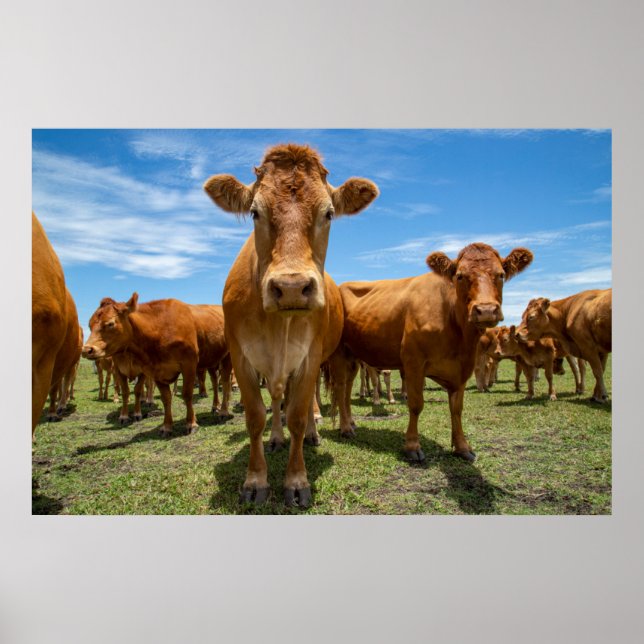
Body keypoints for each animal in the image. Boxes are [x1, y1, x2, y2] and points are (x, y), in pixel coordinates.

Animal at [82, 294, 200, 434]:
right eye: (90, 325)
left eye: (110, 323)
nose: (86, 350)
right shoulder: (120, 370)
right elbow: (126, 392)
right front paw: (124, 416)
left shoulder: (148, 371)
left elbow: (139, 390)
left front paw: (137, 413)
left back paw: (149, 400)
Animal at [203, 143, 378, 507]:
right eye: (255, 212)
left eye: (329, 213)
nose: (293, 287)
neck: (277, 326)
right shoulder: (241, 357)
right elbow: (256, 416)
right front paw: (255, 480)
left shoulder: (310, 357)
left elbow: (297, 414)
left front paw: (297, 481)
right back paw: (276, 438)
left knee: (319, 397)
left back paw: (316, 431)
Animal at [329, 242, 533, 463]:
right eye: (460, 276)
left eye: (501, 274)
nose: (486, 310)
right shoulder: (414, 362)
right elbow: (416, 404)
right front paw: (412, 446)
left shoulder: (462, 368)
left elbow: (457, 408)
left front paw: (462, 447)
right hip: (339, 353)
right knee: (340, 388)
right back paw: (345, 428)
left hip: (353, 355)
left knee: (348, 387)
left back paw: (350, 422)